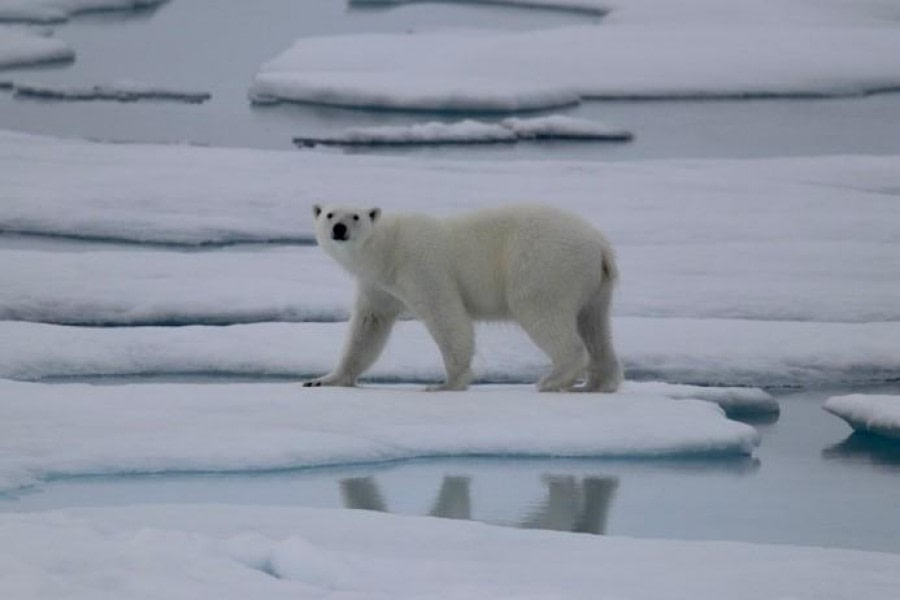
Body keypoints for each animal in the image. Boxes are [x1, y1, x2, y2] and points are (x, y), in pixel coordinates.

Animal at [306, 204, 624, 394]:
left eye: (355, 216)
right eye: (330, 214)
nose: (339, 229)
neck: (388, 249)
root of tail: (600, 246)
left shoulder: (421, 266)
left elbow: (446, 316)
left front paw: (446, 384)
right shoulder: (378, 286)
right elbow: (368, 327)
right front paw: (323, 380)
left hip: (544, 264)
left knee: (541, 311)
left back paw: (552, 379)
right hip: (596, 286)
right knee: (595, 325)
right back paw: (597, 384)